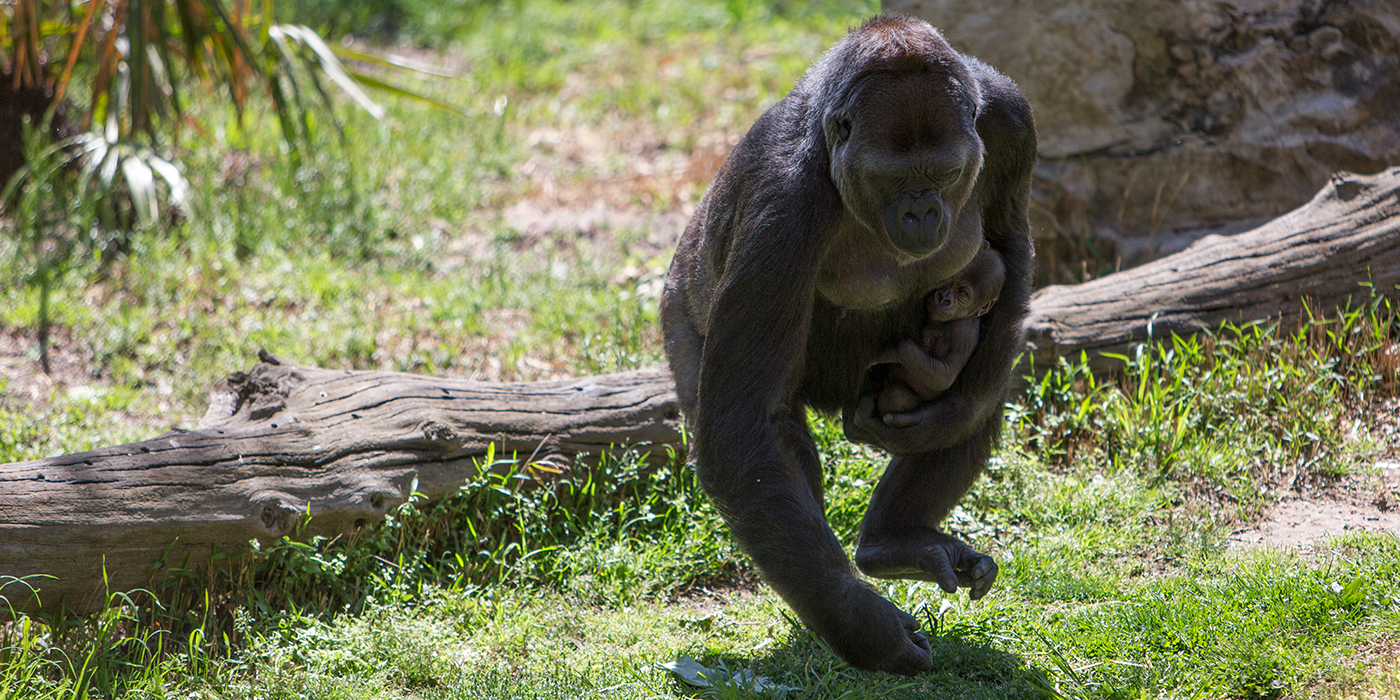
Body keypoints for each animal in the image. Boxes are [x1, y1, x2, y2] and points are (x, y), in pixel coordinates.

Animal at [873, 246, 1008, 420]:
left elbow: (945, 375)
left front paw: (896, 349)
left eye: (963, 293)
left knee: (896, 396)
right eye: (950, 279)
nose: (943, 298)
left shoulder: (963, 332)